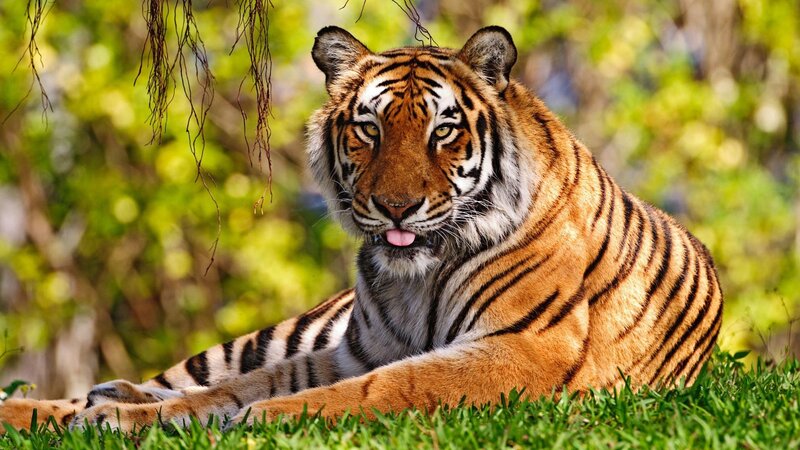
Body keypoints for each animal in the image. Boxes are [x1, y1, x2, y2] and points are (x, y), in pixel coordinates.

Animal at [0, 25, 723, 433]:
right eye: (369, 128)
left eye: (443, 131)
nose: (396, 206)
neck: (418, 276)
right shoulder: (358, 349)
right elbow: (243, 385)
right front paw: (127, 417)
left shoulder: (525, 348)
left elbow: (387, 387)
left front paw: (258, 421)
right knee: (183, 376)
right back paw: (79, 403)